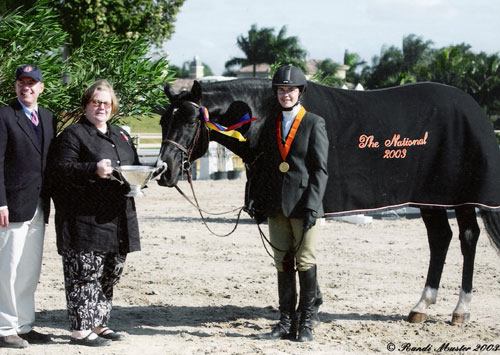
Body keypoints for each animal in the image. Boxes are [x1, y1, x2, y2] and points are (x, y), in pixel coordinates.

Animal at [158, 78, 500, 326]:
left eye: (191, 121)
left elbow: (302, 254)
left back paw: (461, 310)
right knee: (440, 238)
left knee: (468, 238)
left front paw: (309, 307)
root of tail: (472, 107)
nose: (164, 171)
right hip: (431, 199)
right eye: (163, 122)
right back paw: (421, 307)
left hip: (462, 200)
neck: (270, 116)